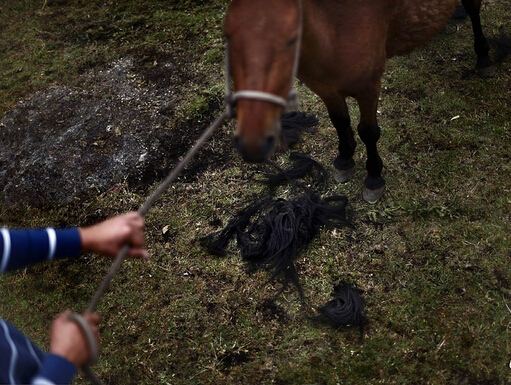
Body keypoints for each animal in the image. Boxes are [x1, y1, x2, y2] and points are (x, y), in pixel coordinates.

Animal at [225, 0, 496, 202]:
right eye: (229, 36)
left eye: (291, 39)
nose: (252, 144)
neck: (334, 27)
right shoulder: (326, 88)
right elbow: (340, 121)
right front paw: (344, 159)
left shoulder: (369, 88)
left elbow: (368, 131)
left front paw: (374, 177)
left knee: (473, 7)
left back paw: (484, 57)